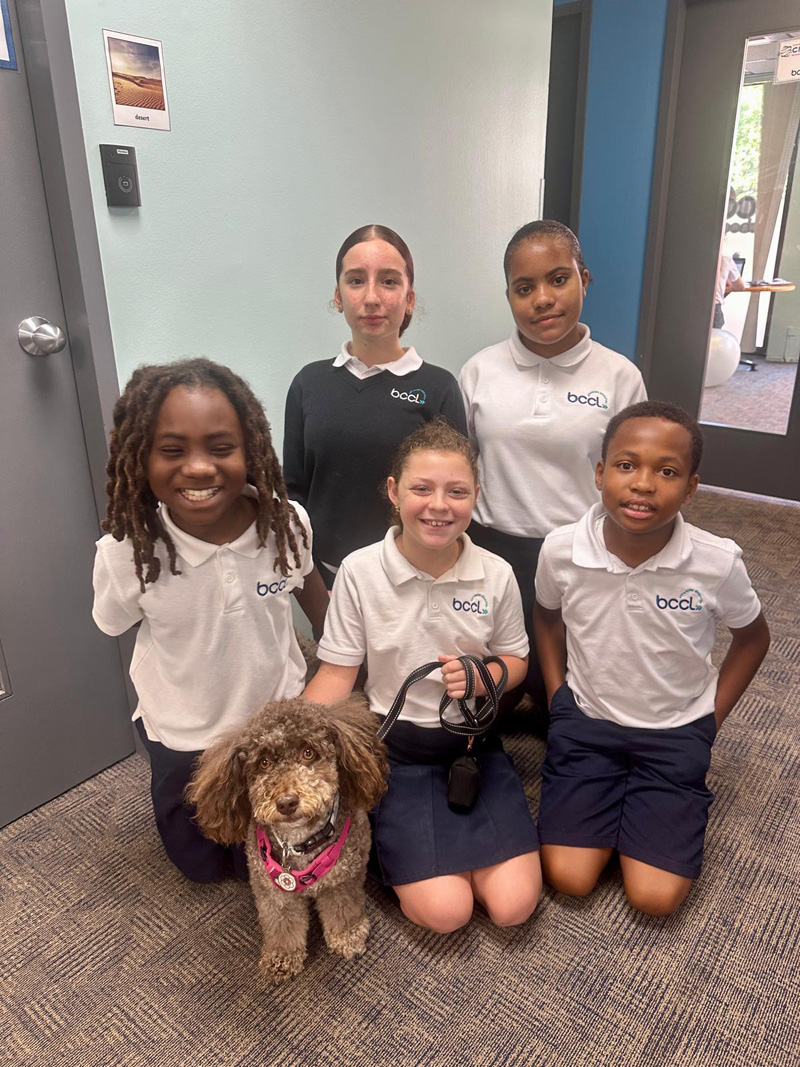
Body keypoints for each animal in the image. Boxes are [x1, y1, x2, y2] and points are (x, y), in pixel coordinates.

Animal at [186, 695, 387, 981]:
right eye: (264, 762)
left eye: (308, 752)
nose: (286, 802)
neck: (299, 843)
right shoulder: (274, 894)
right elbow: (282, 925)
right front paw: (281, 958)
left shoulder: (342, 881)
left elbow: (343, 911)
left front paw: (347, 937)